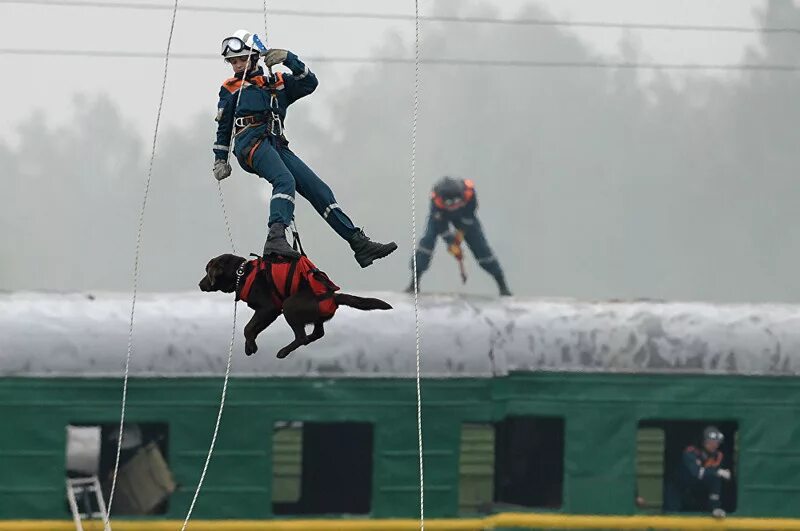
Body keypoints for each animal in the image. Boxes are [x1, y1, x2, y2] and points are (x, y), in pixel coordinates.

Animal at [197, 251, 390, 360]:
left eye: (207, 270)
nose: (200, 284)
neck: (242, 273)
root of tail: (334, 296)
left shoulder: (269, 309)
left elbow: (248, 328)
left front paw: (251, 346)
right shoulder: (267, 313)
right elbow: (252, 328)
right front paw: (249, 346)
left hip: (289, 306)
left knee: (301, 337)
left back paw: (283, 352)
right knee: (317, 333)